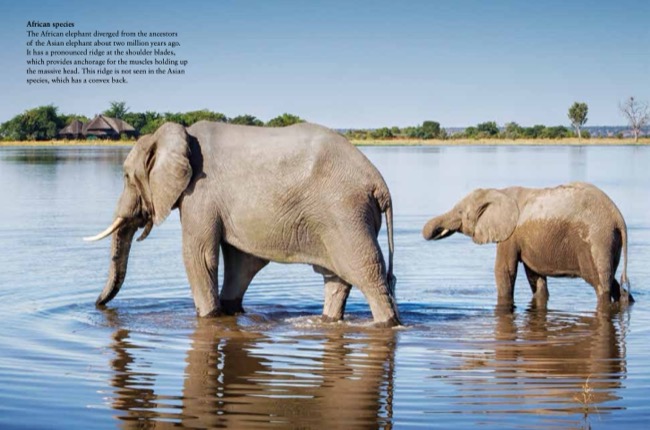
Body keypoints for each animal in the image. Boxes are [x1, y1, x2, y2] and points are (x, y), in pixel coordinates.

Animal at [85, 121, 400, 327]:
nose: (97, 307)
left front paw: (209, 318)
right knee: (336, 280)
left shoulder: (200, 192)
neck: (175, 136)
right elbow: (241, 262)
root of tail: (380, 184)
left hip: (345, 212)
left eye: (126, 177)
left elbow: (199, 257)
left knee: (368, 275)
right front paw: (228, 312)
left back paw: (388, 323)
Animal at [422, 182, 633, 308]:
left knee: (599, 283)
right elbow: (535, 276)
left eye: (460, 212)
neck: (499, 192)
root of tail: (618, 217)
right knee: (612, 281)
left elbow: (504, 270)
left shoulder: (510, 235)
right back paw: (626, 300)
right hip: (610, 241)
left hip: (597, 239)